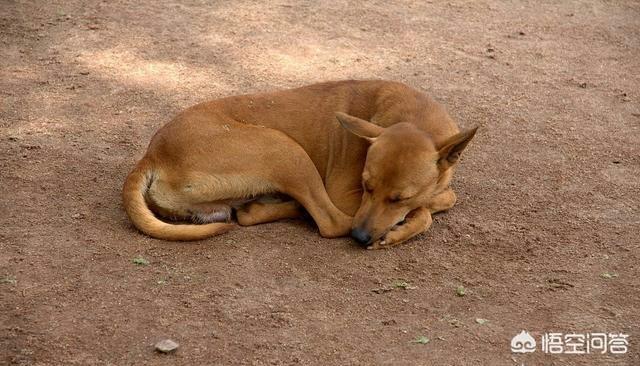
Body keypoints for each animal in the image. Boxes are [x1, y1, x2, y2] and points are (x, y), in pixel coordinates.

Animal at [124, 80, 476, 249]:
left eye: (399, 197)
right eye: (366, 186)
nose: (361, 238)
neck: (413, 115)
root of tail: (152, 154)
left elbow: (442, 196)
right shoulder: (345, 196)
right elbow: (434, 206)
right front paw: (407, 225)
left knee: (244, 214)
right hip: (285, 150)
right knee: (331, 222)